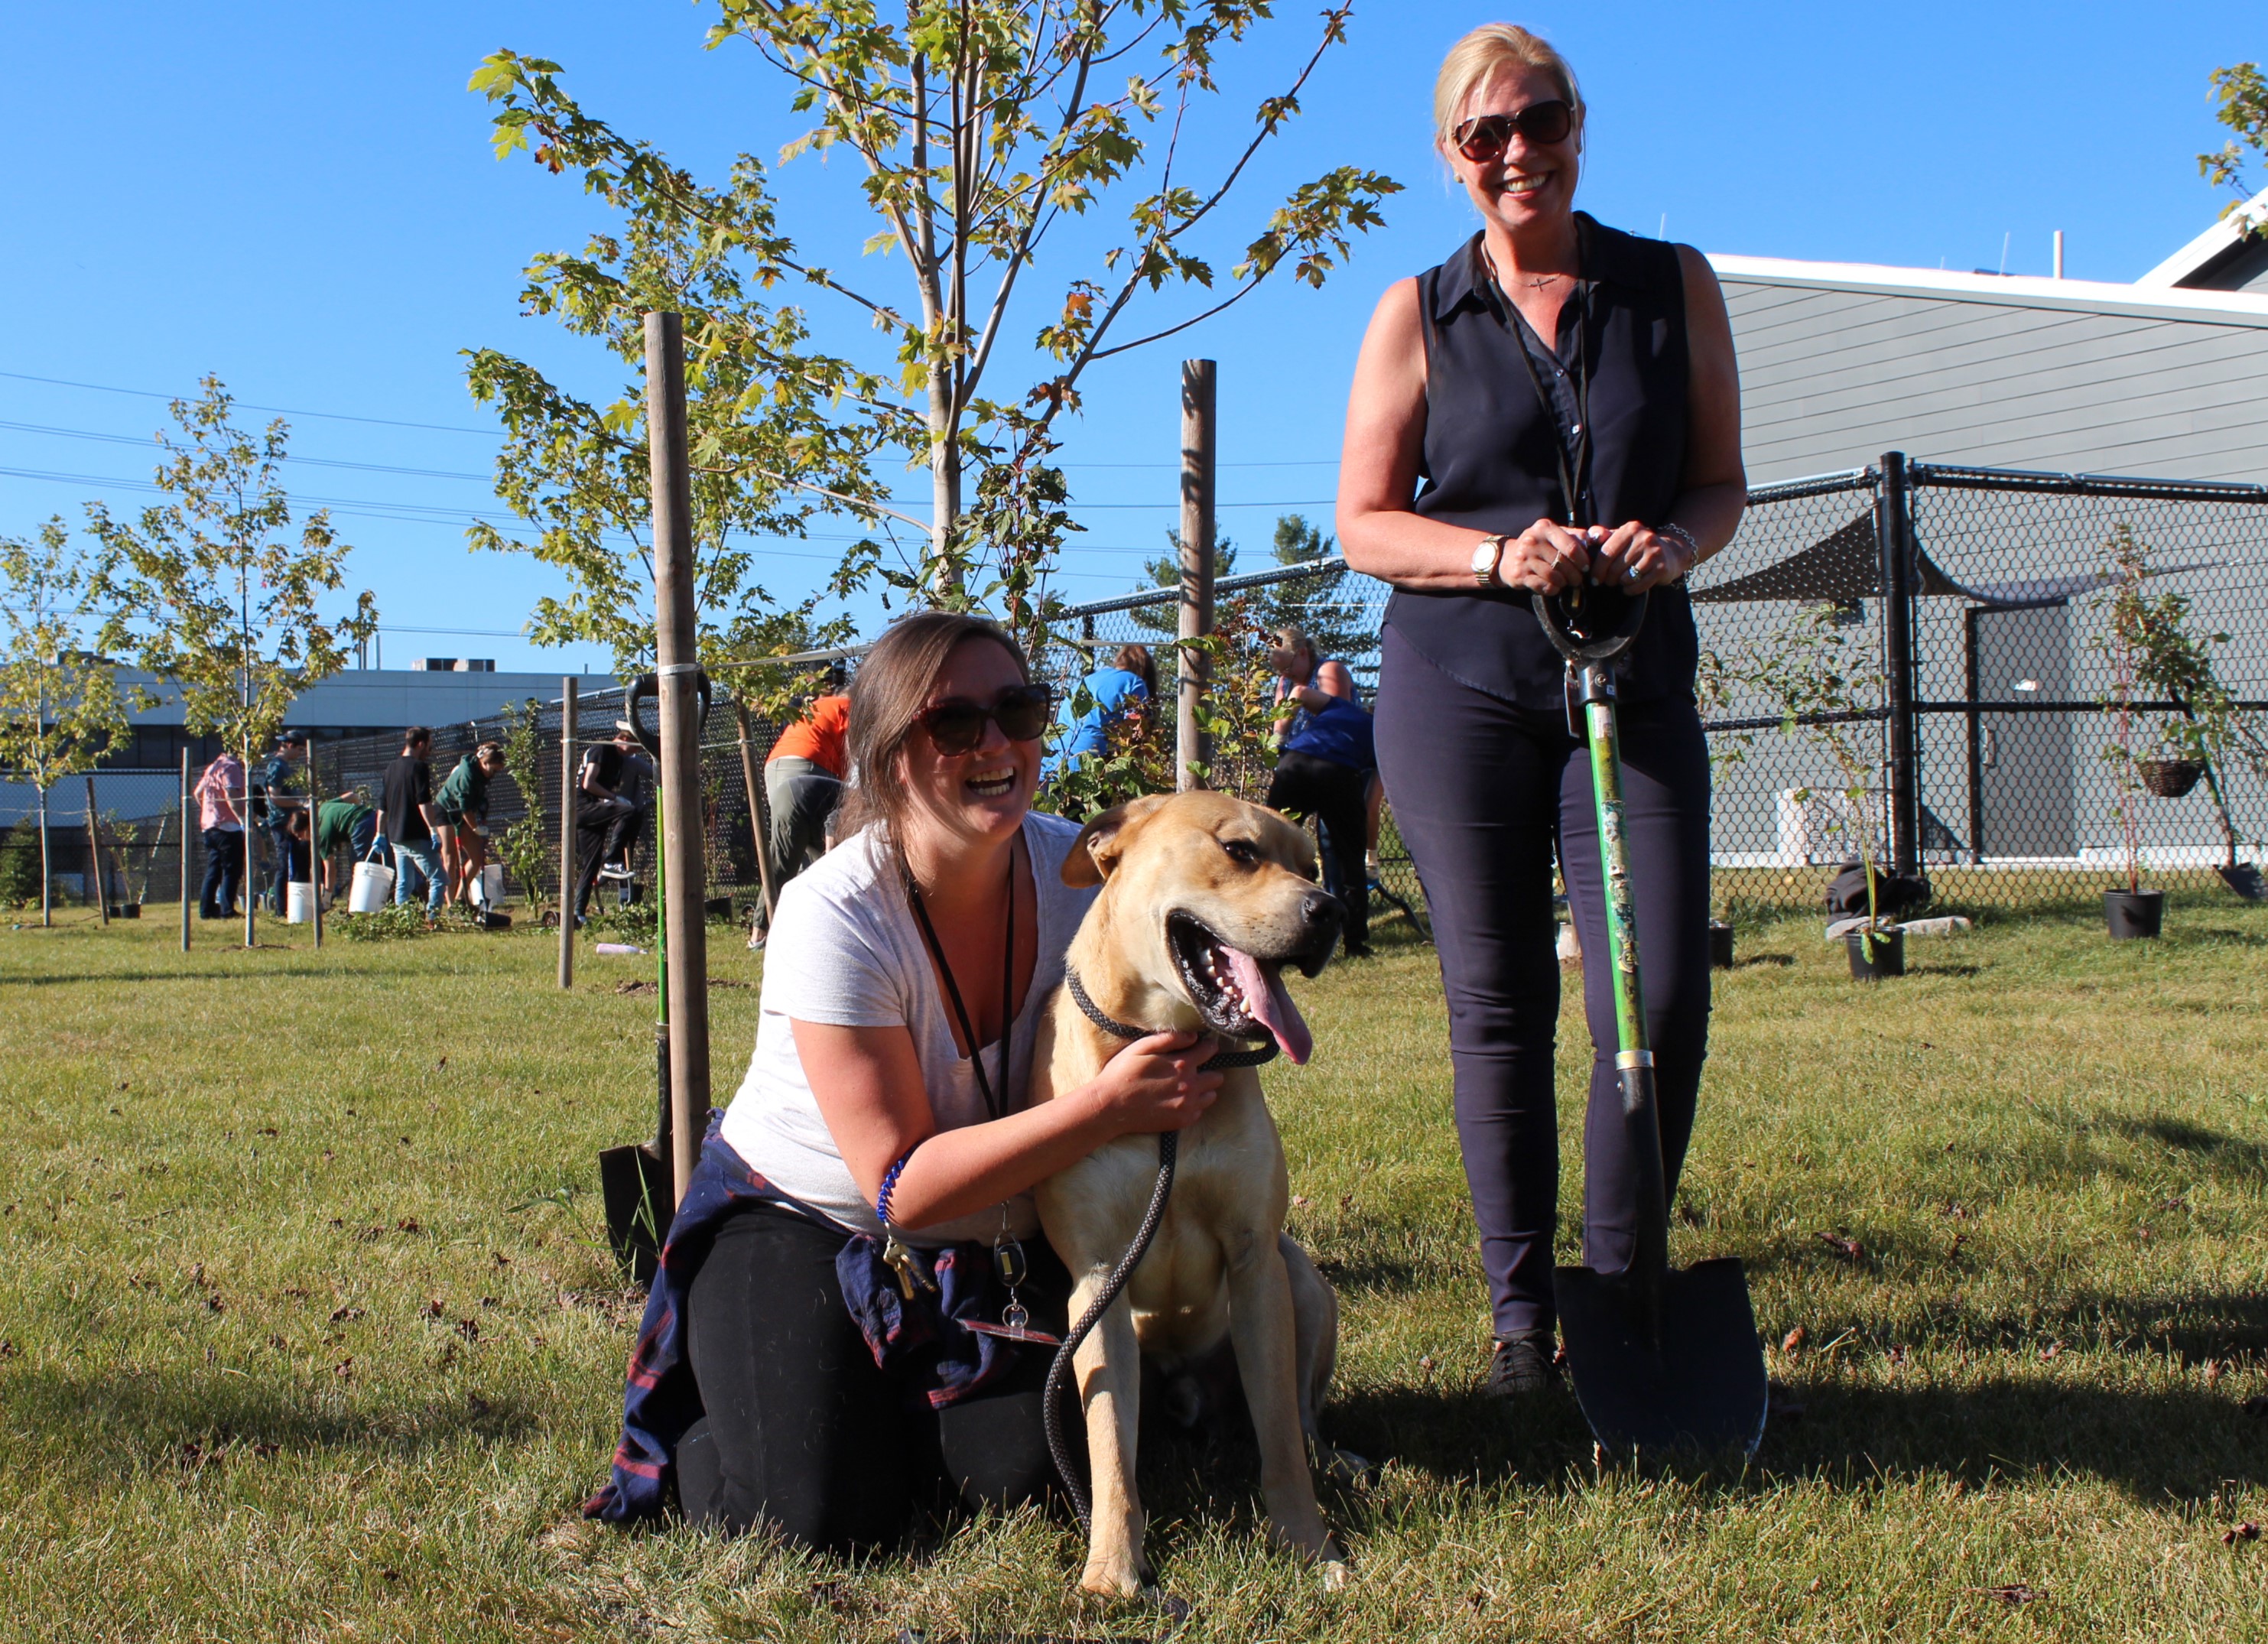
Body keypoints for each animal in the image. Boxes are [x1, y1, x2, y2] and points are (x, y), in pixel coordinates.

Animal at [1038, 793, 1351, 1587]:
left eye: (1310, 864)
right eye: (1239, 851)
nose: (1330, 909)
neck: (1170, 1045)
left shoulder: (1256, 1259)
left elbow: (1280, 1434)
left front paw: (1310, 1545)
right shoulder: (1096, 1280)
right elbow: (1109, 1449)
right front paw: (1113, 1570)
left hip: (1303, 1280)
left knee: (1307, 1418)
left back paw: (1339, 1461)